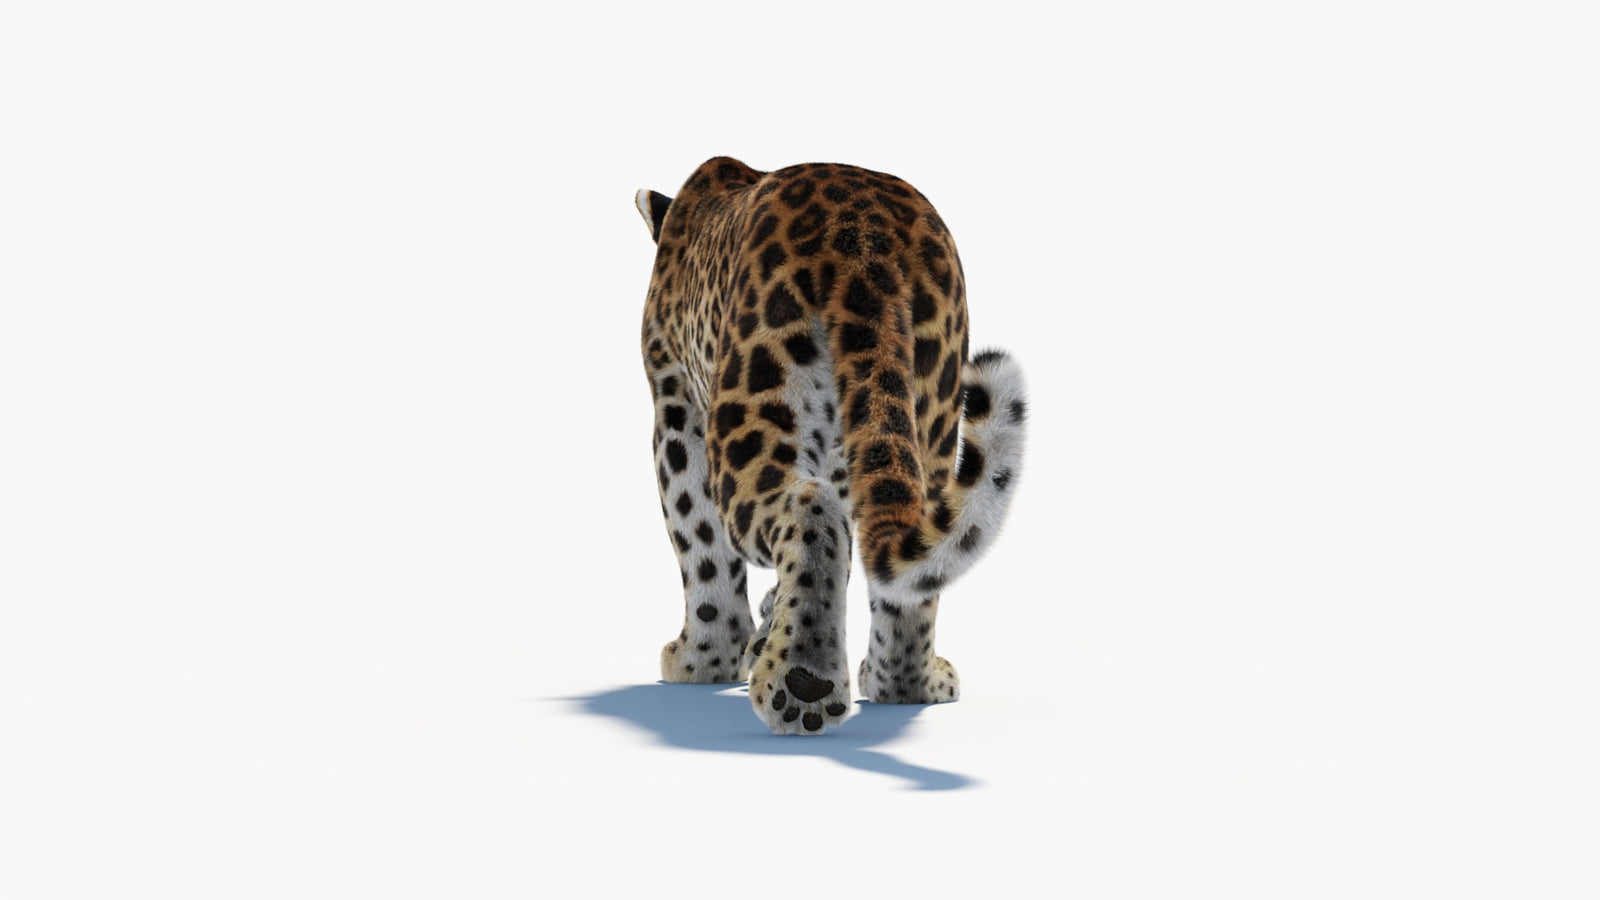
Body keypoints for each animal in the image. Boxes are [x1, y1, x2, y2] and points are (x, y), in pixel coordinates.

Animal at [636, 157, 1027, 735]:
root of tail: (865, 240)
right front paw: (762, 627)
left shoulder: (677, 406)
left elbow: (700, 545)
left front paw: (703, 659)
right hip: (930, 415)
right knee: (899, 563)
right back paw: (904, 685)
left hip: (752, 407)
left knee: (808, 506)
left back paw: (803, 685)